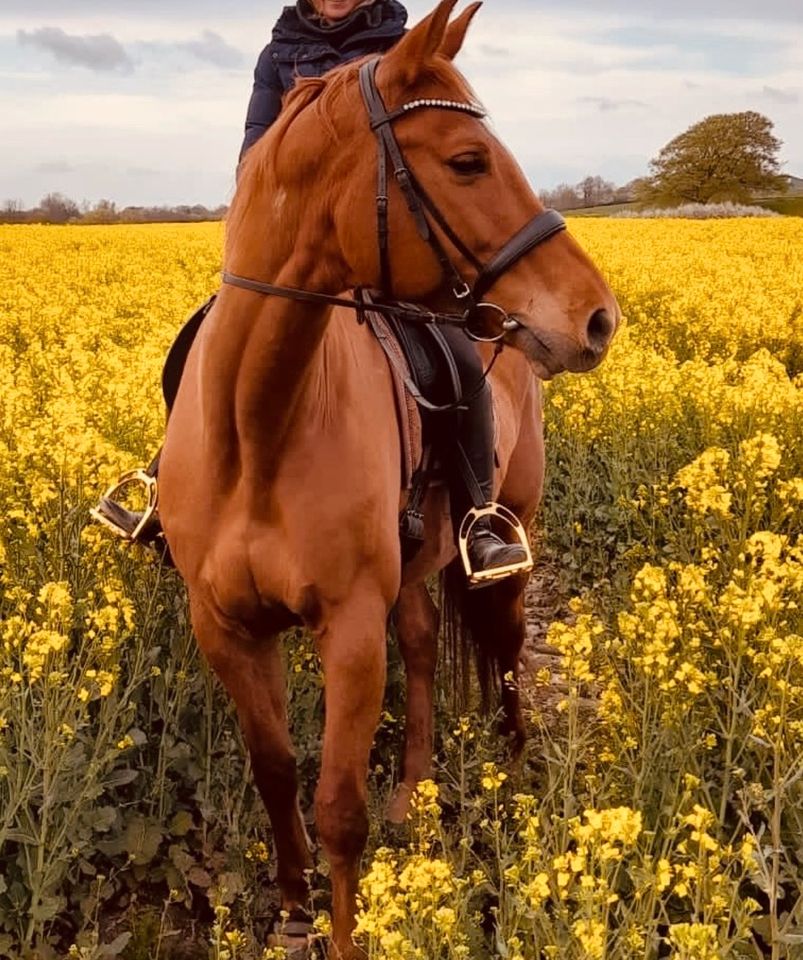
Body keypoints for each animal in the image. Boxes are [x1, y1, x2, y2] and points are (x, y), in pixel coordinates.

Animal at [159, 3, 620, 956]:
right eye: (467, 160)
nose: (597, 318)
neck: (259, 428)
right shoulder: (225, 628)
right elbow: (274, 770)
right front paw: (293, 913)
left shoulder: (348, 629)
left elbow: (338, 808)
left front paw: (343, 933)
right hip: (413, 558)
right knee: (423, 643)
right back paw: (414, 791)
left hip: (505, 535)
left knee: (506, 654)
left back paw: (514, 782)